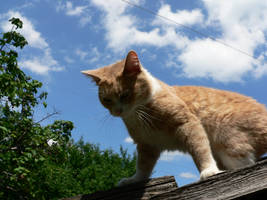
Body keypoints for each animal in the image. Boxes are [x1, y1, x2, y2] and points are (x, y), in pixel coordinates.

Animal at [82, 50, 267, 186]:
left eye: (125, 95)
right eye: (106, 100)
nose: (117, 111)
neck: (140, 113)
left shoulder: (188, 124)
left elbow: (200, 149)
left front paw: (208, 171)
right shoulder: (147, 144)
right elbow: (143, 166)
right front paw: (133, 180)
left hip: (230, 144)